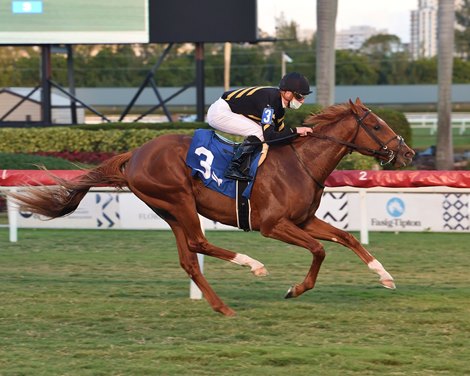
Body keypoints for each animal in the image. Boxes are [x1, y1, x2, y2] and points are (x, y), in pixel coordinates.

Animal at [9, 98, 414, 316]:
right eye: (378, 126)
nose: (408, 153)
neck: (301, 163)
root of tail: (134, 154)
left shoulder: (304, 219)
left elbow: (346, 238)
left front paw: (385, 276)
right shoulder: (273, 225)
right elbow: (319, 250)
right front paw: (295, 289)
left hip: (169, 210)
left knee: (189, 257)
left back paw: (221, 305)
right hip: (179, 200)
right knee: (198, 243)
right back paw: (252, 265)